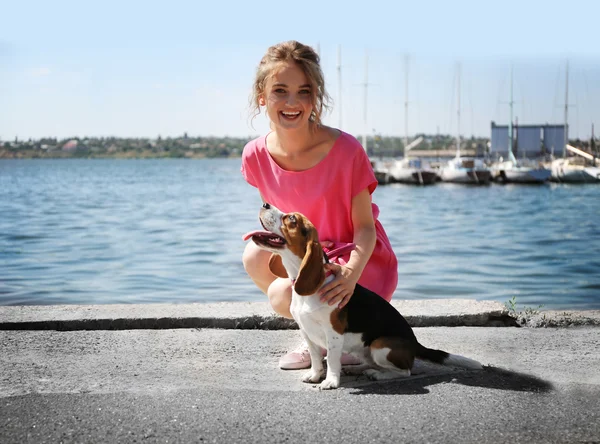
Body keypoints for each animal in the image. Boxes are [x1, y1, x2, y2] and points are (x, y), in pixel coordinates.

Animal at [241, 203, 480, 390]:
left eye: (291, 219)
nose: (264, 204)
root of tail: (415, 344)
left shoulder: (333, 333)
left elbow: (332, 359)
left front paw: (330, 381)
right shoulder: (307, 332)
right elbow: (317, 358)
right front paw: (315, 375)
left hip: (380, 345)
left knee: (404, 371)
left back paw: (378, 374)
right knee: (372, 362)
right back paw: (359, 368)